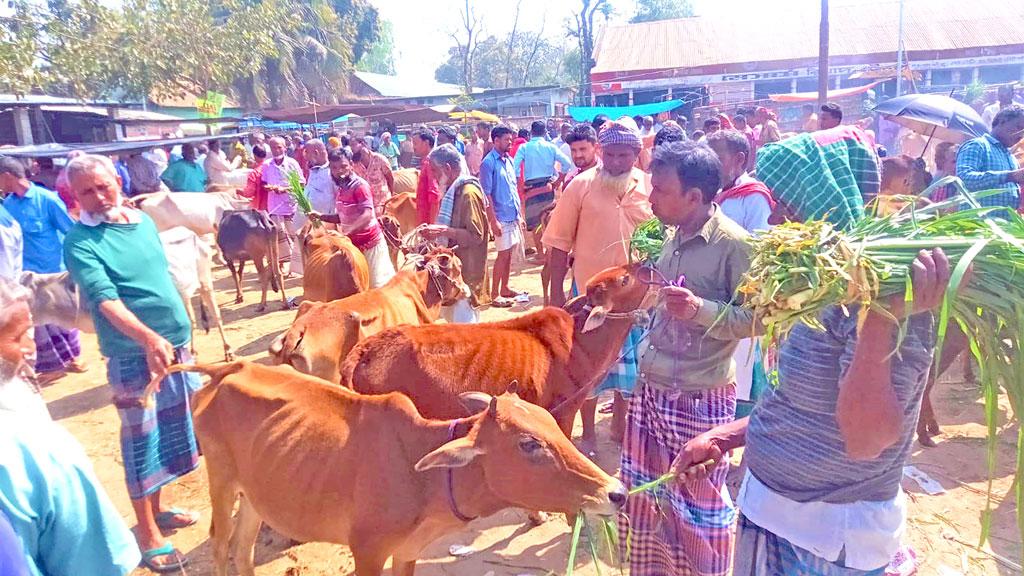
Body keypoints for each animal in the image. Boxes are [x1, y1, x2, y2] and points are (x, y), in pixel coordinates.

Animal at [164, 360, 626, 569]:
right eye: (529, 444)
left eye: (550, 421)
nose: (617, 492)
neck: (425, 482)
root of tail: (229, 367)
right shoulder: (367, 552)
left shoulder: (407, 553)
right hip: (222, 482)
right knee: (221, 545)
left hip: (257, 496)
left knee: (242, 551)